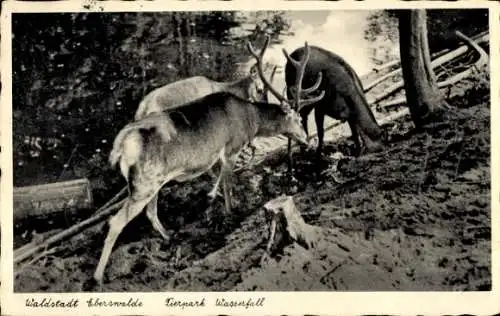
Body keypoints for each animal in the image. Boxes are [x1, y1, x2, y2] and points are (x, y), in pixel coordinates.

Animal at [94, 34, 326, 284]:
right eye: (298, 120)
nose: (307, 139)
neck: (252, 120)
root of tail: (120, 145)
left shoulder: (217, 155)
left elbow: (217, 180)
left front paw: (213, 200)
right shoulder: (231, 148)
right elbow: (228, 186)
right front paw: (231, 214)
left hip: (151, 180)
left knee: (150, 212)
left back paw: (169, 237)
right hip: (144, 182)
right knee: (116, 221)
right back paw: (98, 277)